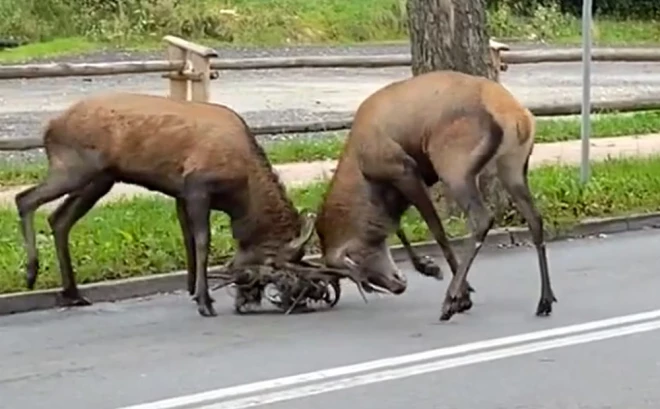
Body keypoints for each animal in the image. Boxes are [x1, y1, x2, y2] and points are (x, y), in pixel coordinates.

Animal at [314, 70, 556, 322]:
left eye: (358, 264)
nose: (397, 287)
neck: (362, 171)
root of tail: (519, 117)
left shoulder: (404, 169)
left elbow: (436, 230)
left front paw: (463, 294)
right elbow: (398, 225)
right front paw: (429, 267)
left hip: (454, 165)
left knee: (481, 219)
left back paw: (450, 300)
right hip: (513, 166)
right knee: (535, 218)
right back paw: (545, 300)